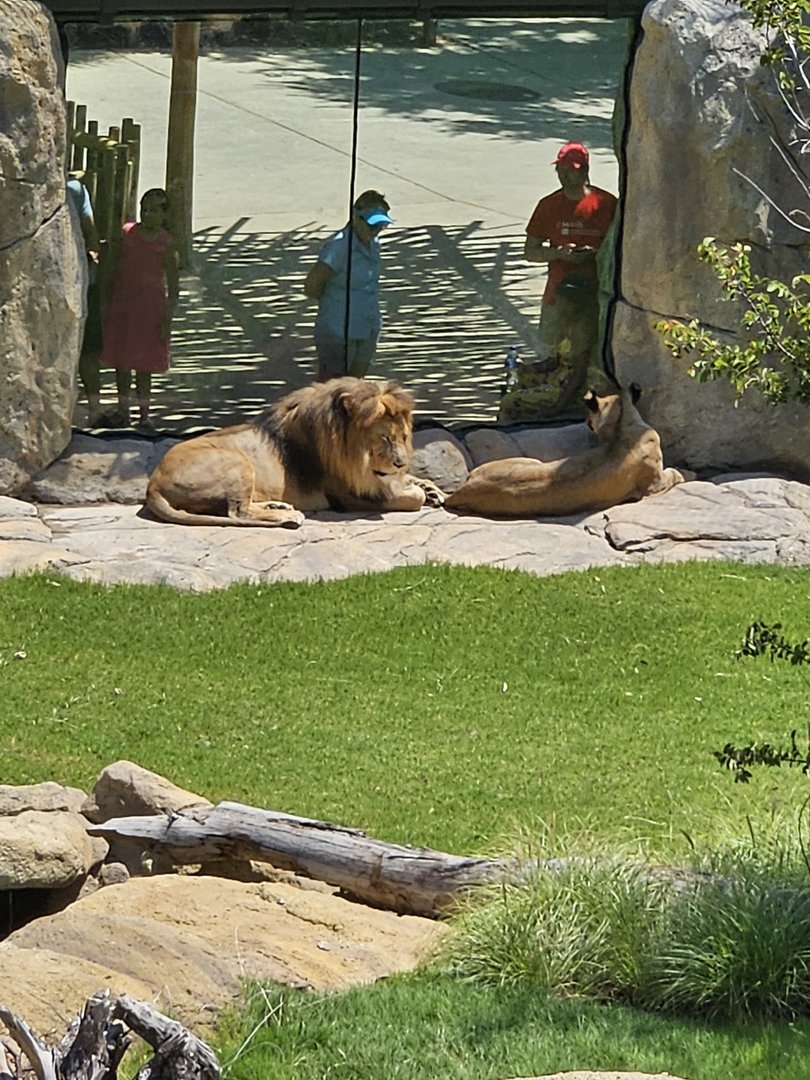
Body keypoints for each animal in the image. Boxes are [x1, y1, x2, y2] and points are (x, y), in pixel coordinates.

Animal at [145, 377, 445, 527]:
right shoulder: (350, 495)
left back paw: (278, 506)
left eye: (404, 437)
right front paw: (418, 491)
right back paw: (286, 516)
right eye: (384, 438)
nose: (400, 463)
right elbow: (408, 498)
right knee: (236, 513)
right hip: (237, 461)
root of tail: (152, 484)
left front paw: (429, 488)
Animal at [445, 385, 690, 518]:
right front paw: (686, 472)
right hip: (531, 460)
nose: (585, 422)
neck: (619, 428)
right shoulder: (654, 484)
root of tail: (464, 489)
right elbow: (674, 473)